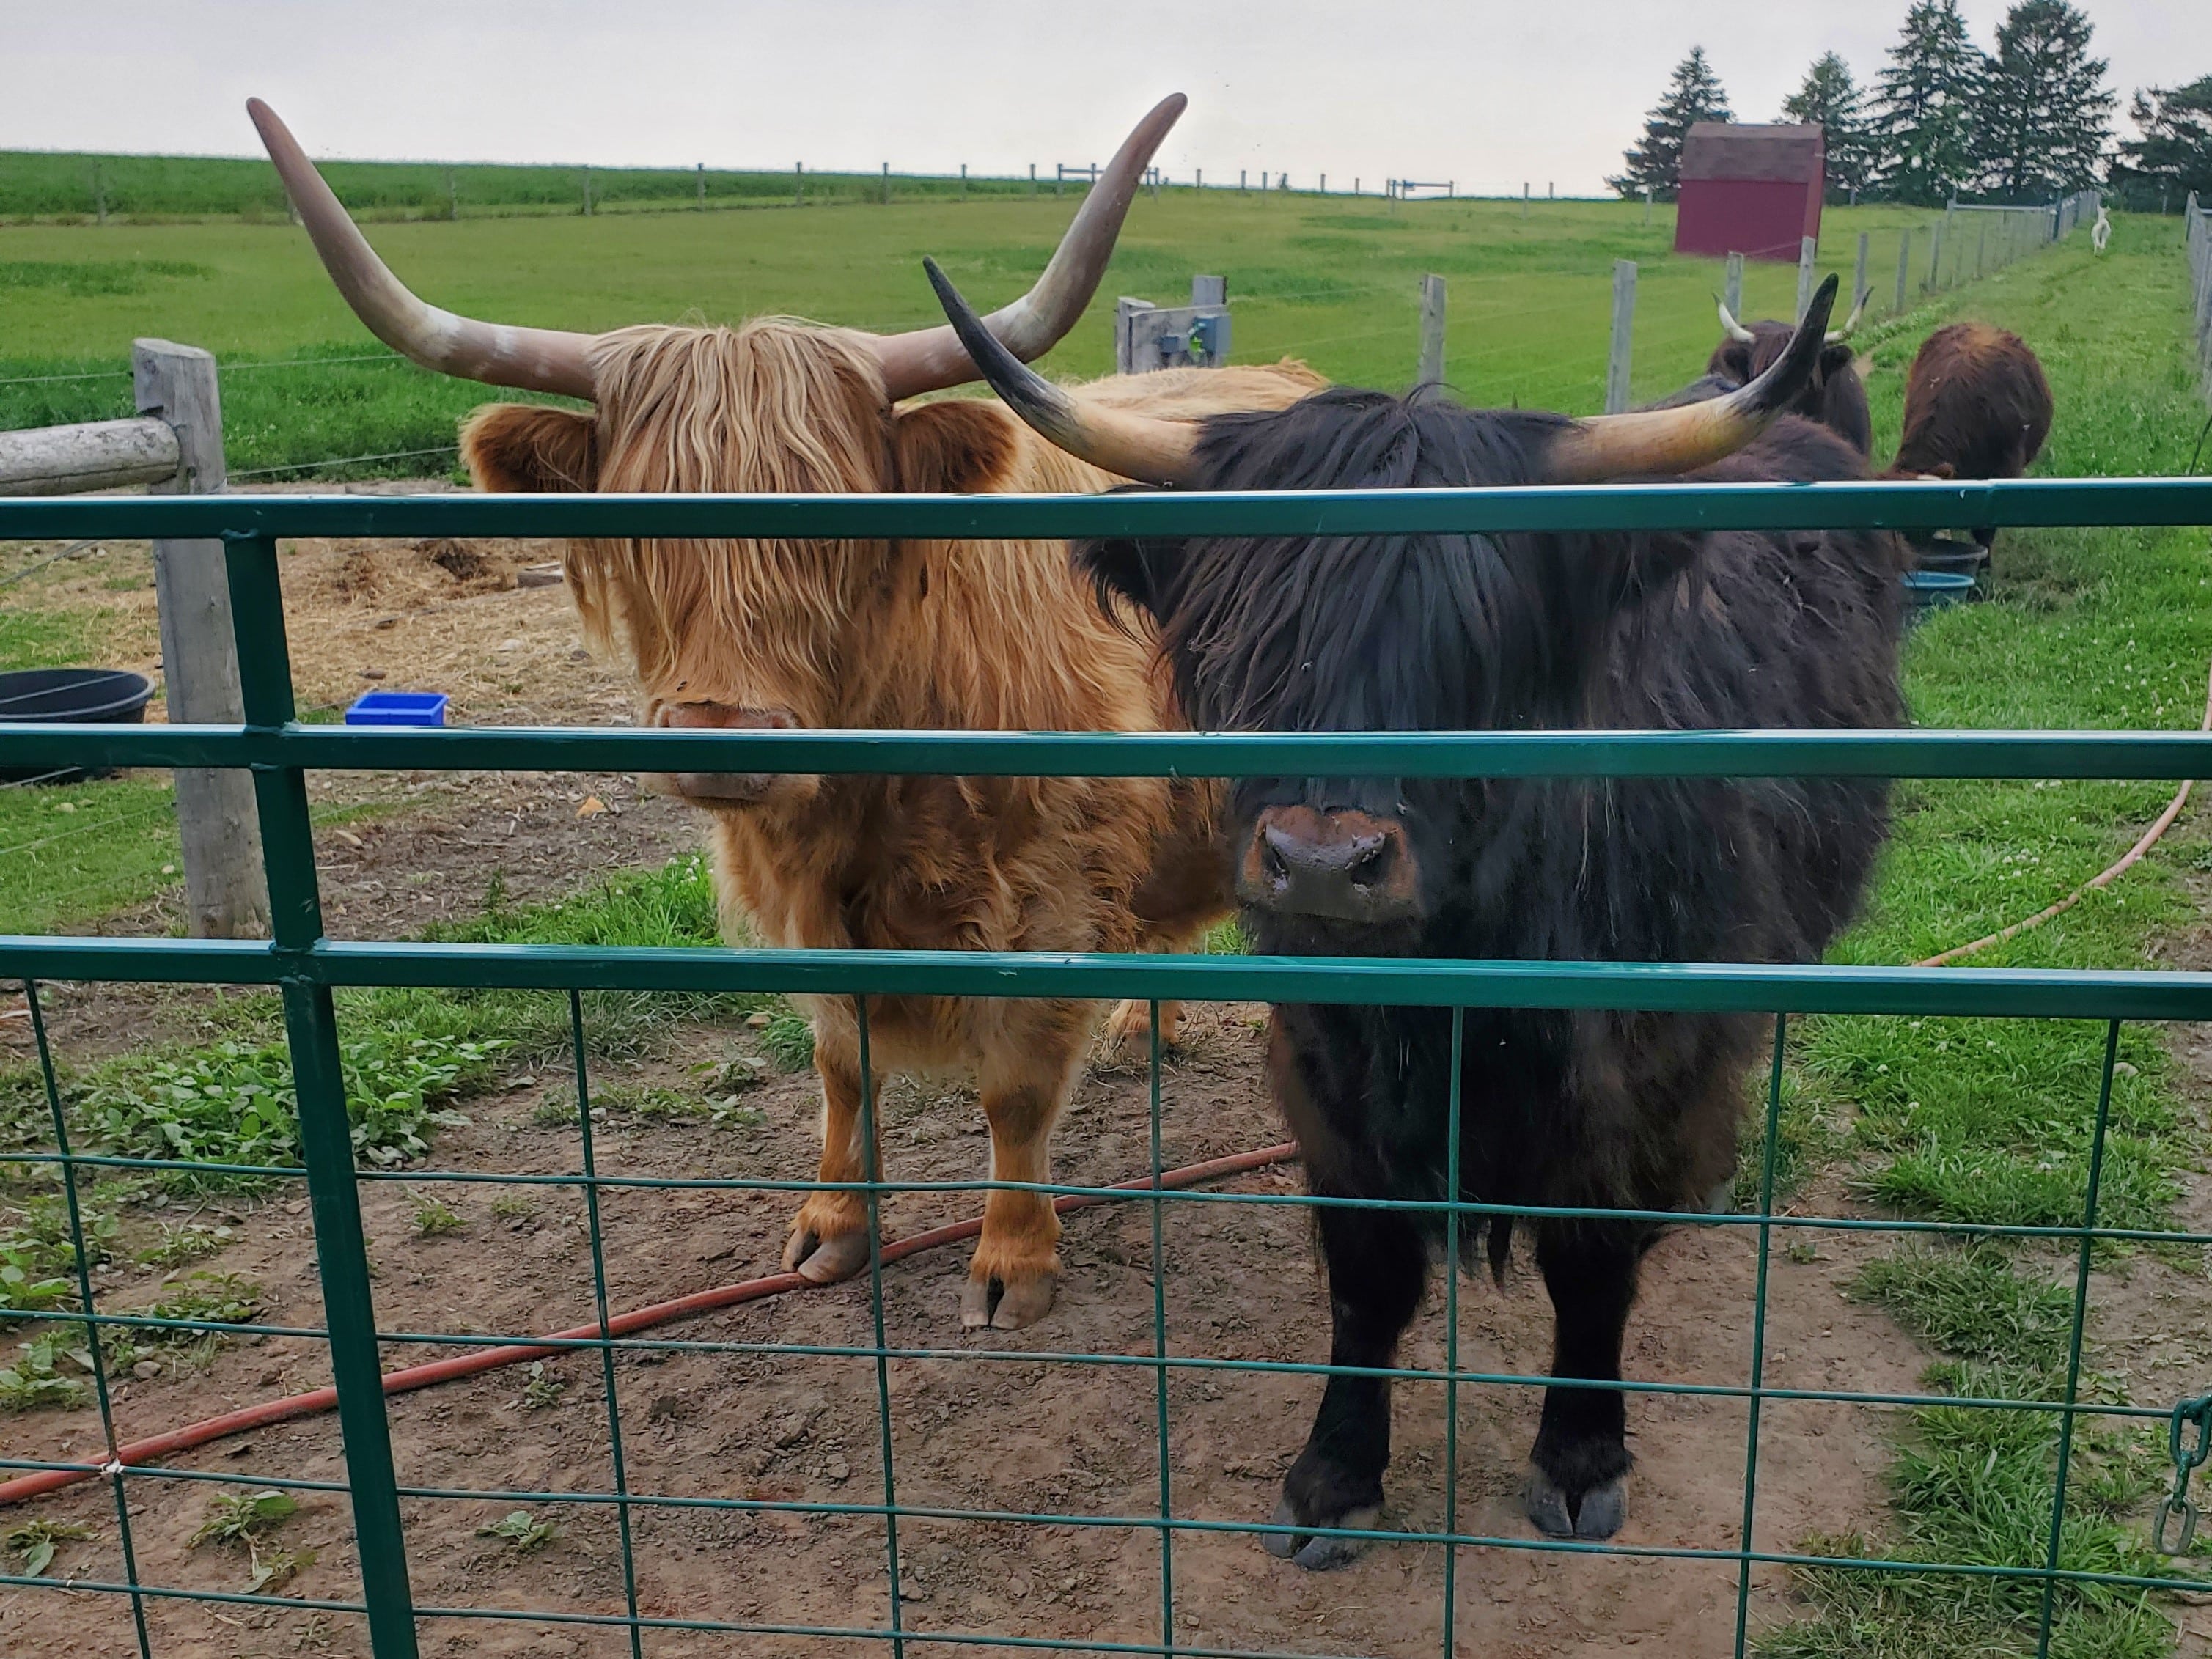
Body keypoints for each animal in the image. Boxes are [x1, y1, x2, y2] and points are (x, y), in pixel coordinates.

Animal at [251, 94, 1318, 1336]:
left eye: (841, 522)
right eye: (635, 520)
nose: (723, 730)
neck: (870, 790)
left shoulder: (1051, 893)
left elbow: (1012, 1095)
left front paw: (1011, 1260)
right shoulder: (805, 906)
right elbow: (839, 1066)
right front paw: (832, 1225)